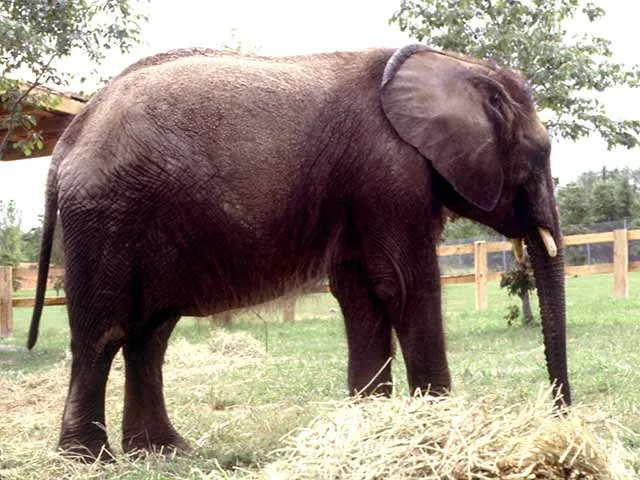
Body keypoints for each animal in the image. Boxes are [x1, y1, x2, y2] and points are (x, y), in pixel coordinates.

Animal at [28, 44, 570, 459]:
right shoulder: (388, 171)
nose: (561, 418)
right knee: (104, 333)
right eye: (538, 155)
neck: (455, 65)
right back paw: (87, 457)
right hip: (106, 215)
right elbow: (404, 286)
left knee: (150, 336)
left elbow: (362, 294)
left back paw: (163, 452)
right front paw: (432, 429)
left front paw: (368, 426)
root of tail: (69, 140)